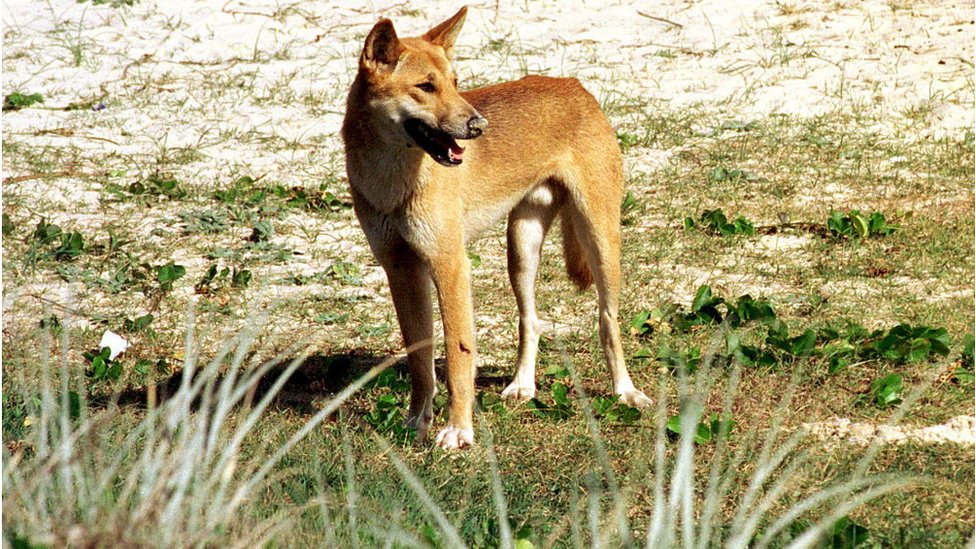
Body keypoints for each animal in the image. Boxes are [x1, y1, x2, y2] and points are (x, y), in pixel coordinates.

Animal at [340, 6, 652, 448]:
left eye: (456, 83)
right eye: (425, 87)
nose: (478, 125)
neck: (393, 180)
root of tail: (574, 85)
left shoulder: (450, 266)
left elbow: (458, 355)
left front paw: (458, 430)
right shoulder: (401, 269)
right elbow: (420, 359)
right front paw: (417, 423)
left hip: (601, 243)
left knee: (608, 322)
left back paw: (625, 391)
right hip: (521, 251)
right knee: (531, 321)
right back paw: (523, 386)